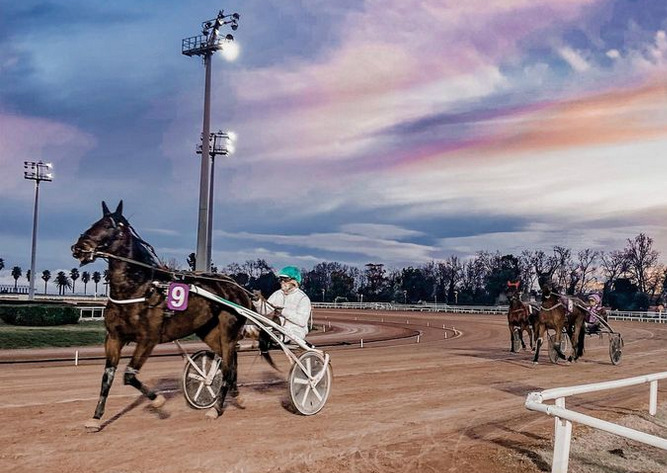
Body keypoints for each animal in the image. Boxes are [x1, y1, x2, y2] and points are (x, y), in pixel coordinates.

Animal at [72, 201, 272, 430]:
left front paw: (158, 401)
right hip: (209, 331)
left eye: (107, 226)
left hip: (228, 329)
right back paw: (236, 396)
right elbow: (108, 378)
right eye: (94, 223)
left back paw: (215, 408)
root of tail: (238, 289)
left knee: (228, 368)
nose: (78, 247)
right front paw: (96, 418)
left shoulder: (148, 339)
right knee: (230, 363)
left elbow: (129, 375)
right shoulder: (114, 338)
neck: (139, 288)